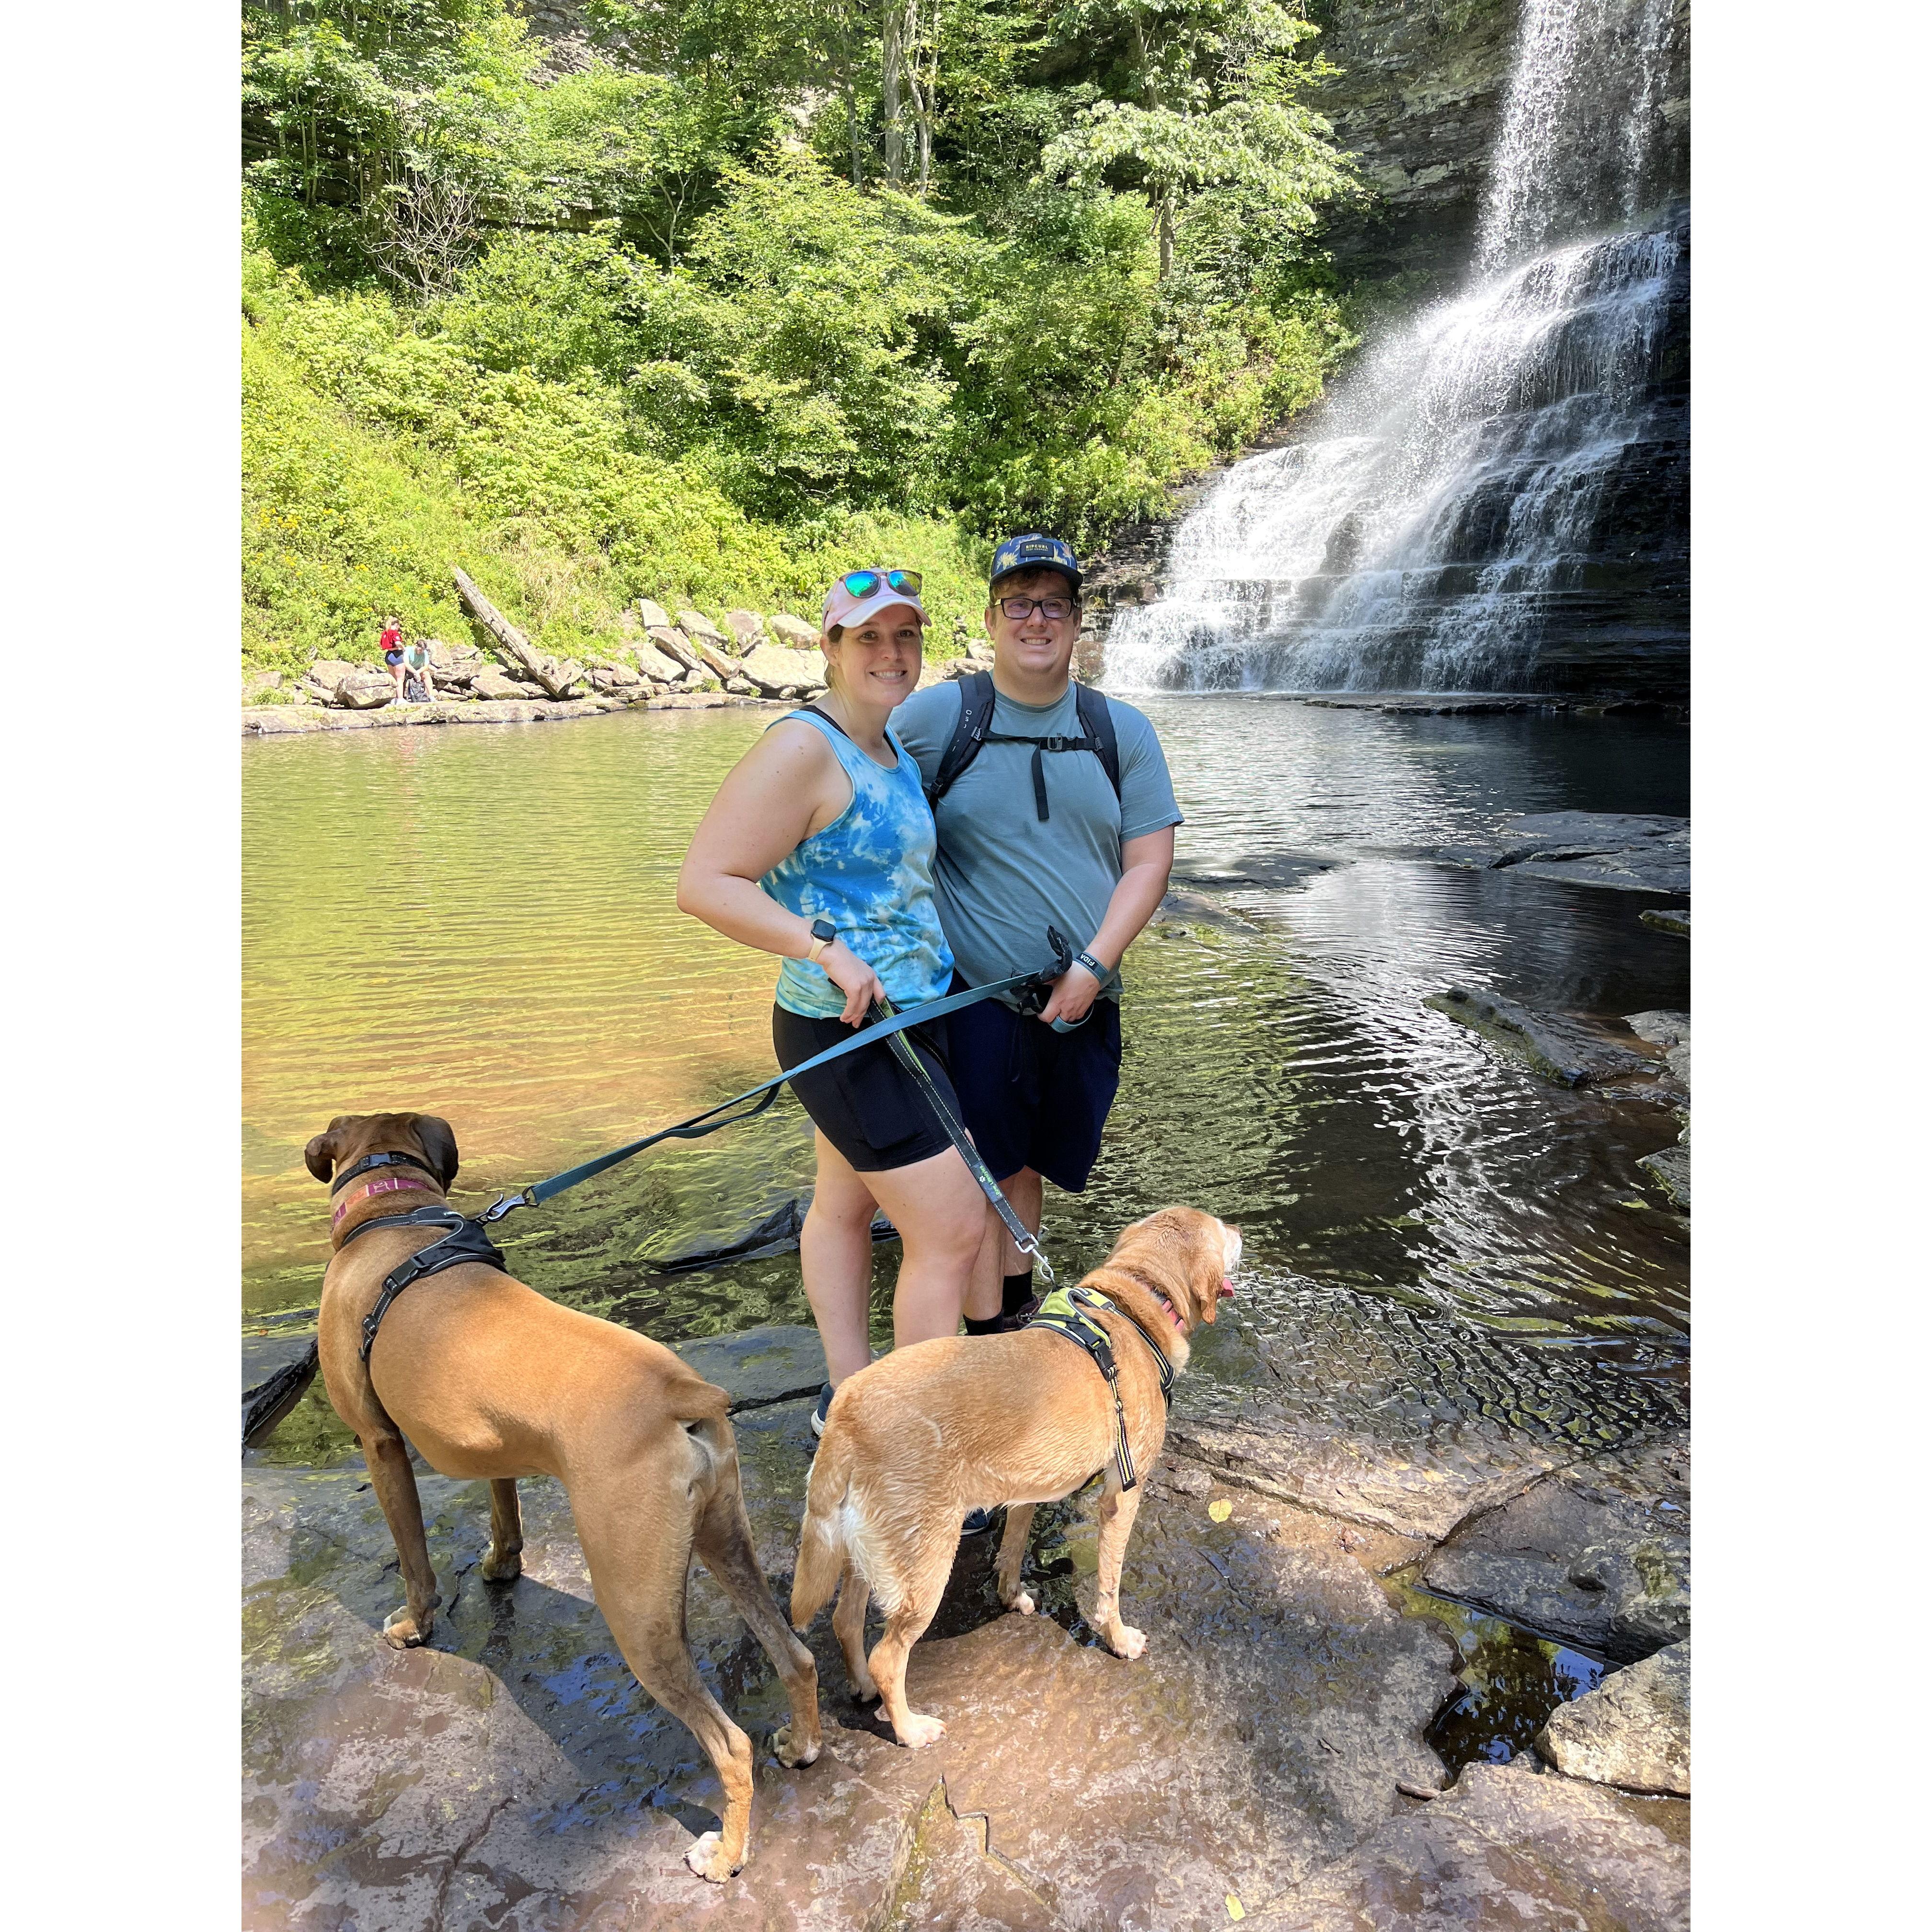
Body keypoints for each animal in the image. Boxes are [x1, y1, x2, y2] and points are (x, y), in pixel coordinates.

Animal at [305, 1113, 819, 1878]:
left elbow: (414, 1556)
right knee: (796, 1656)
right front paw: (501, 1566)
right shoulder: (492, 1444)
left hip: (635, 1607)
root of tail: (681, 1392)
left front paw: (414, 1625)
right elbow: (504, 1506)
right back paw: (803, 1744)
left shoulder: (381, 1443)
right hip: (726, 1541)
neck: (394, 1212)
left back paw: (725, 1855)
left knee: (730, 1745)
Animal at [792, 1205, 1244, 1738]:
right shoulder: (1122, 1495)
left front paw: (1011, 1597)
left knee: (845, 1622)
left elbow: (1012, 1546)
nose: (1241, 1230)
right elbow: (1109, 1585)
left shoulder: (1030, 1484)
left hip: (869, 1553)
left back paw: (861, 1686)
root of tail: (848, 1409)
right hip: (924, 1566)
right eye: (1221, 1232)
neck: (1134, 1305)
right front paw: (1118, 1639)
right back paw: (910, 1730)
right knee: (888, 1657)